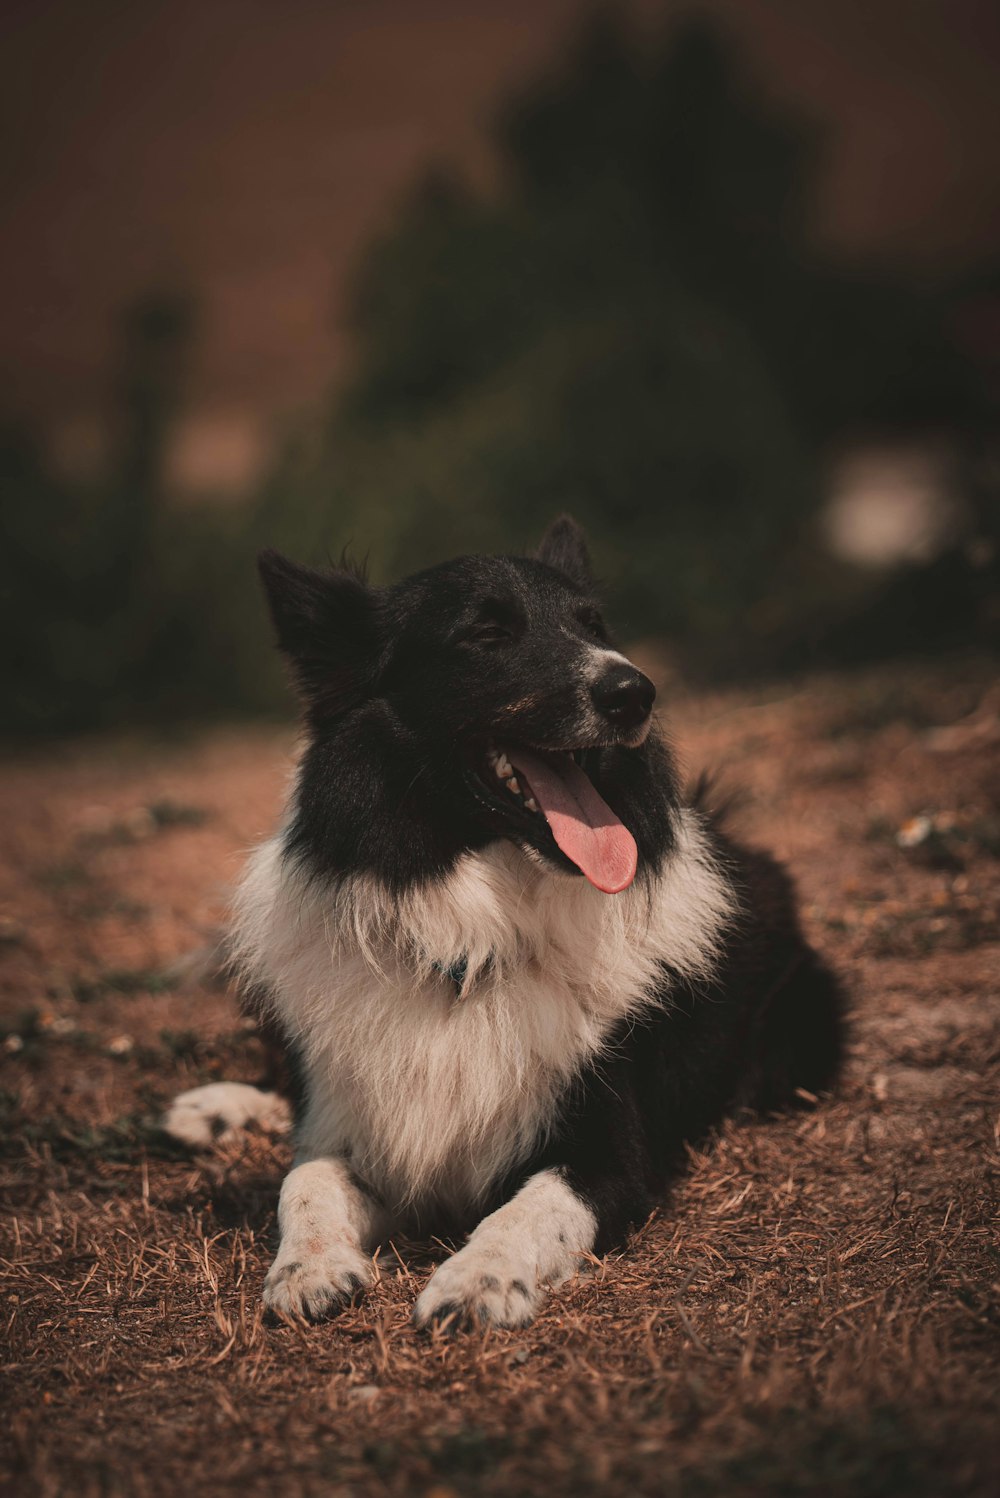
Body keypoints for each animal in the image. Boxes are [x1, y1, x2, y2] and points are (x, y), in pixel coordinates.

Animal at [166, 521, 844, 1330]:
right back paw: (213, 1109)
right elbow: (305, 1177)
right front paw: (308, 1267)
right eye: (487, 634)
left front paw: (477, 1280)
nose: (634, 691)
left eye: (594, 626)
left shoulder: (609, 1159)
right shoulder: (361, 1130)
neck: (474, 938)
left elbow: (527, 1210)